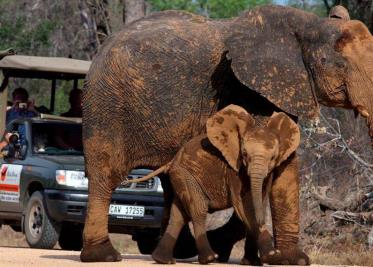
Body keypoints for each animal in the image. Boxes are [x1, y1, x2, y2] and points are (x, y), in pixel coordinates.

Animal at [126, 104, 300, 266]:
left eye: (273, 158)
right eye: (244, 155)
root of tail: (171, 161)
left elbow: (259, 203)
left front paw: (255, 262)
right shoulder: (234, 170)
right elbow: (244, 206)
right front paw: (271, 254)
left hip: (180, 177)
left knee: (179, 215)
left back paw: (163, 260)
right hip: (186, 175)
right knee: (198, 209)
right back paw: (209, 258)